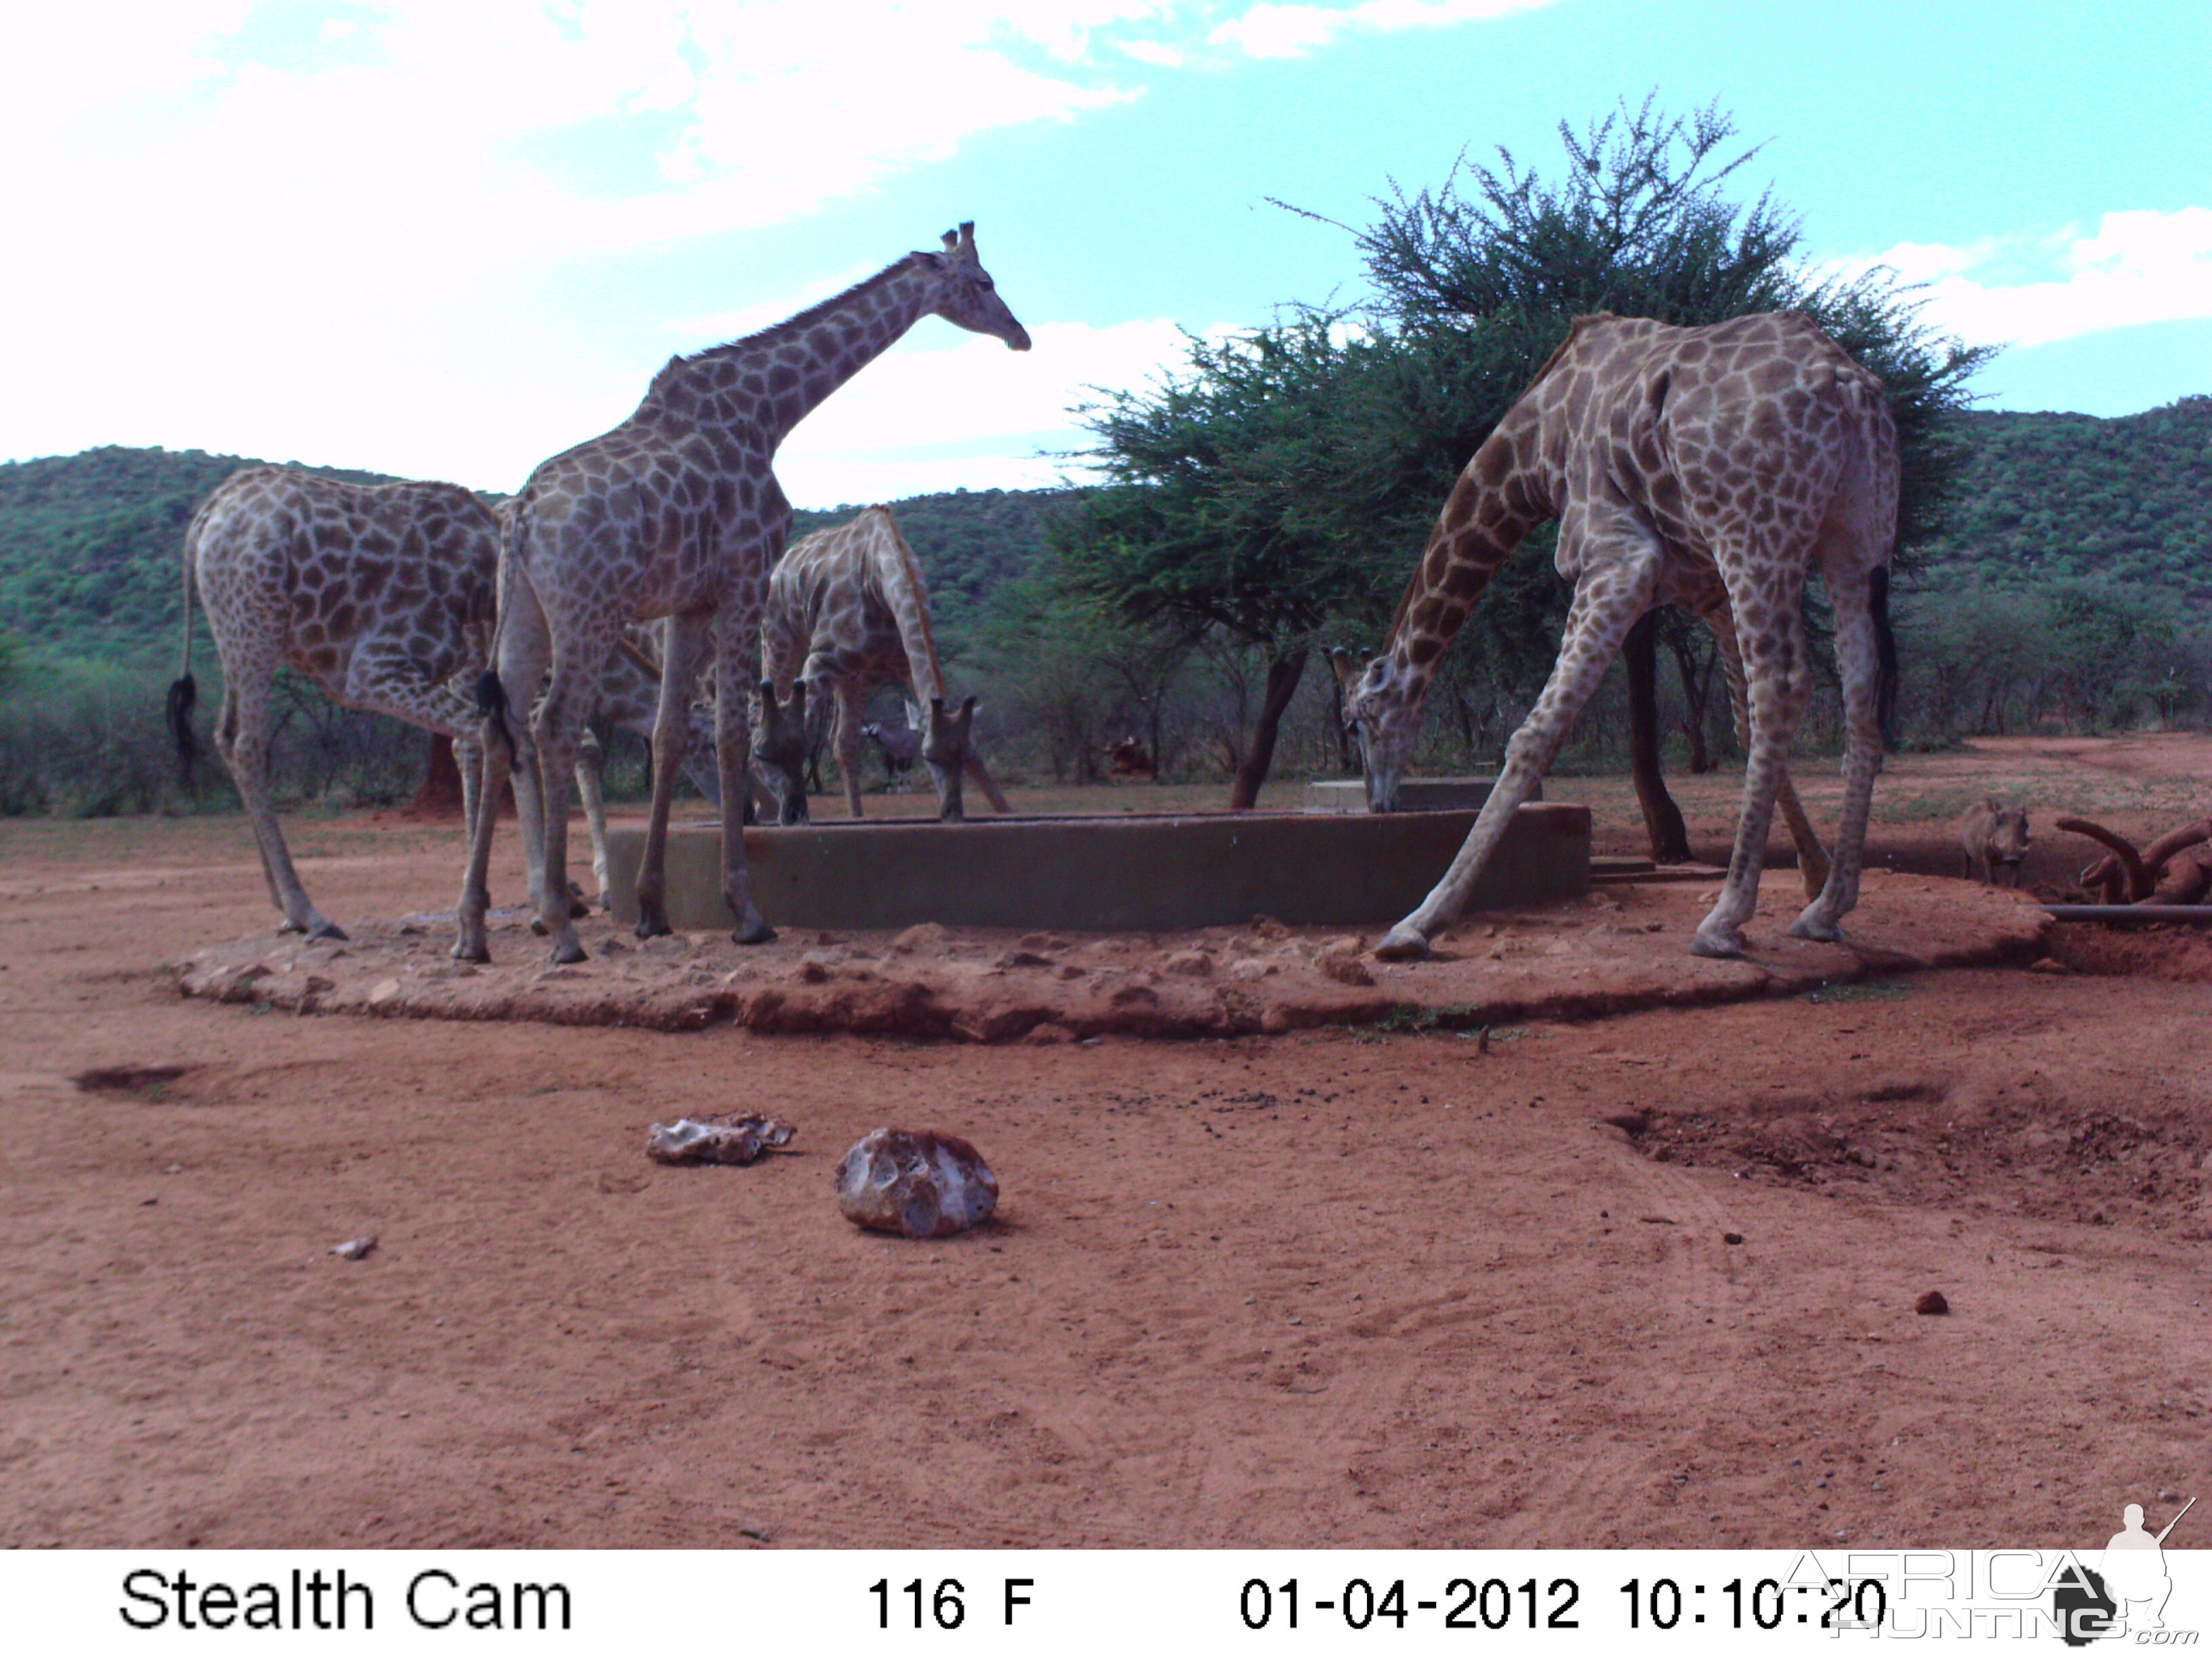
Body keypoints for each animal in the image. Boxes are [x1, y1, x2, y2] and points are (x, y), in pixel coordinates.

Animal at [174, 468, 725, 942]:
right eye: (709, 748)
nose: (742, 809)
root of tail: (205, 520)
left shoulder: (468, 672)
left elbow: (489, 746)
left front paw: (505, 891)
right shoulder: (376, 669)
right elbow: (507, 743)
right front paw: (544, 898)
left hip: (236, 635)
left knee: (225, 736)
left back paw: (283, 907)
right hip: (254, 625)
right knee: (245, 743)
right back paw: (309, 912)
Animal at [752, 499, 1012, 827]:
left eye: (964, 757)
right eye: (929, 757)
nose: (952, 812)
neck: (877, 580)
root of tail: (783, 563)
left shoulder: (903, 664)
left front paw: (1005, 813)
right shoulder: (821, 658)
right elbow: (802, 728)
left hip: (854, 678)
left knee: (843, 743)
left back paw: (855, 817)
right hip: (780, 637)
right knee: (760, 710)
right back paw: (762, 810)